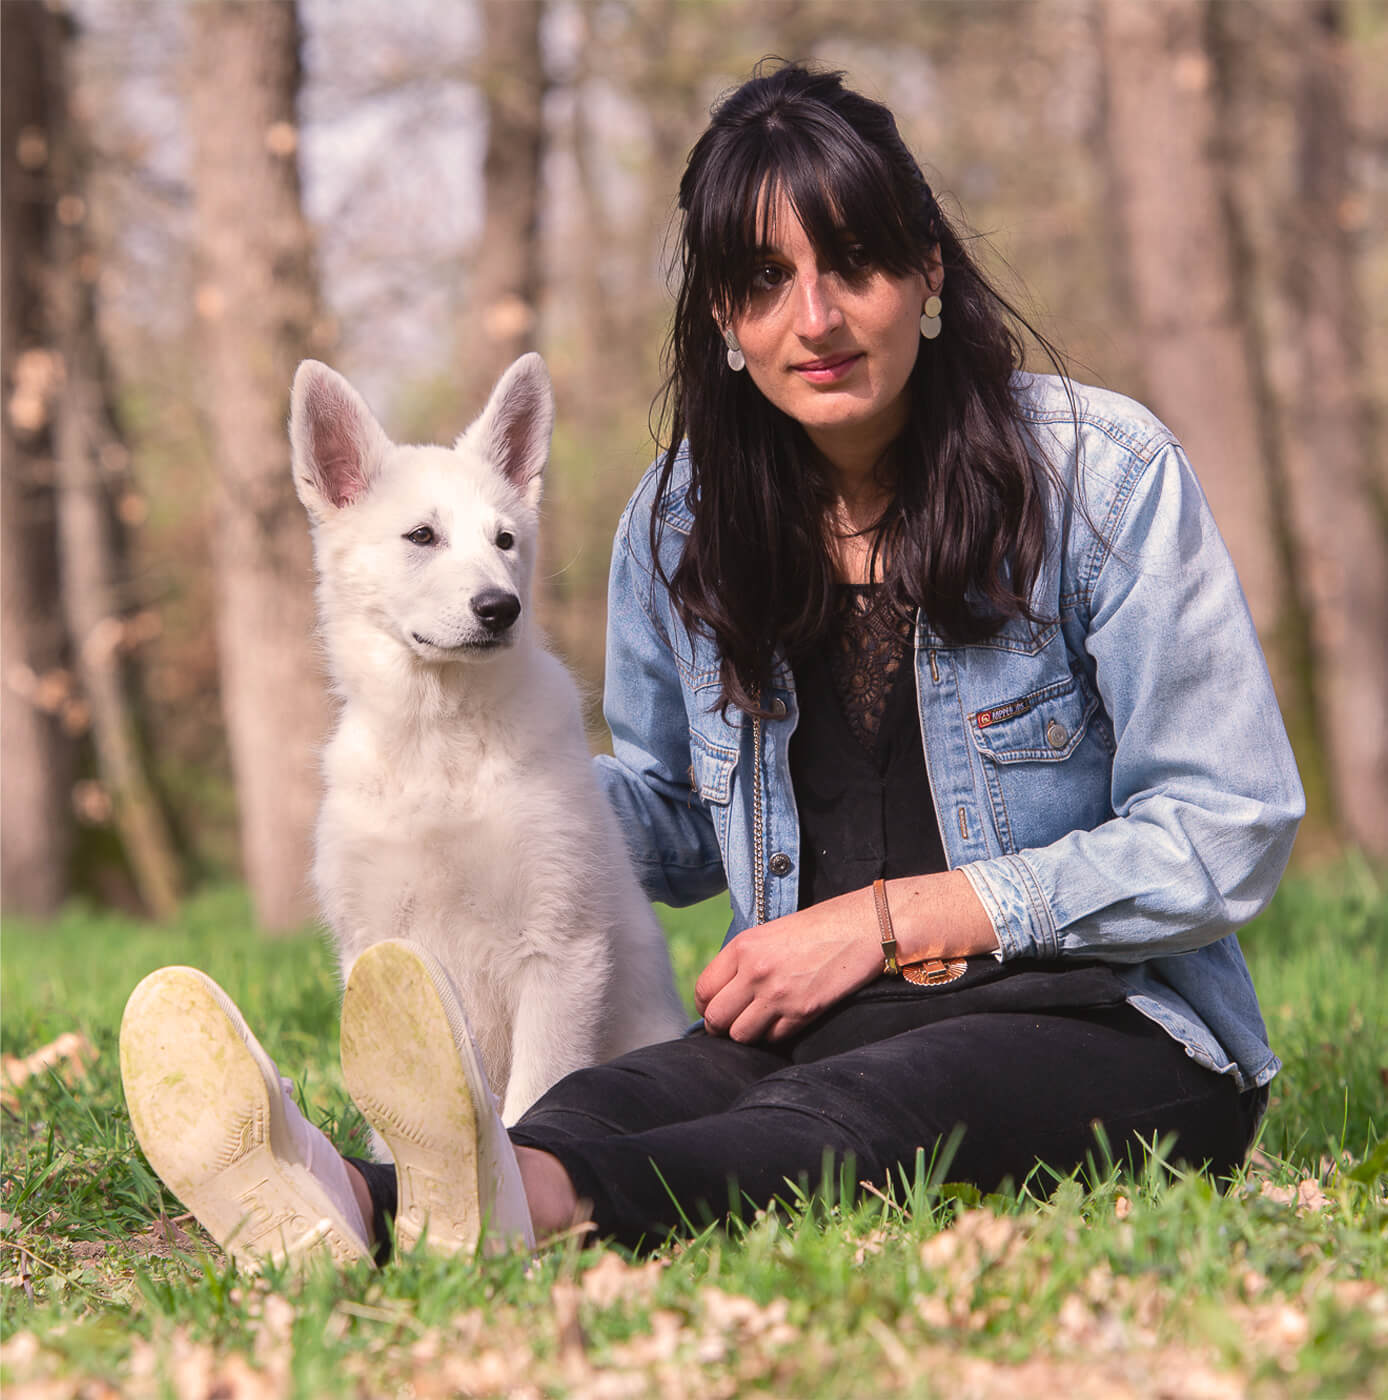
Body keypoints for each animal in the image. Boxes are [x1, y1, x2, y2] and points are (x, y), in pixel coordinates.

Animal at [288, 352, 689, 1125]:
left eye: (505, 541)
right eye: (422, 536)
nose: (502, 608)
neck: (441, 740)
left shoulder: (560, 948)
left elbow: (532, 1100)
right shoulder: (376, 949)